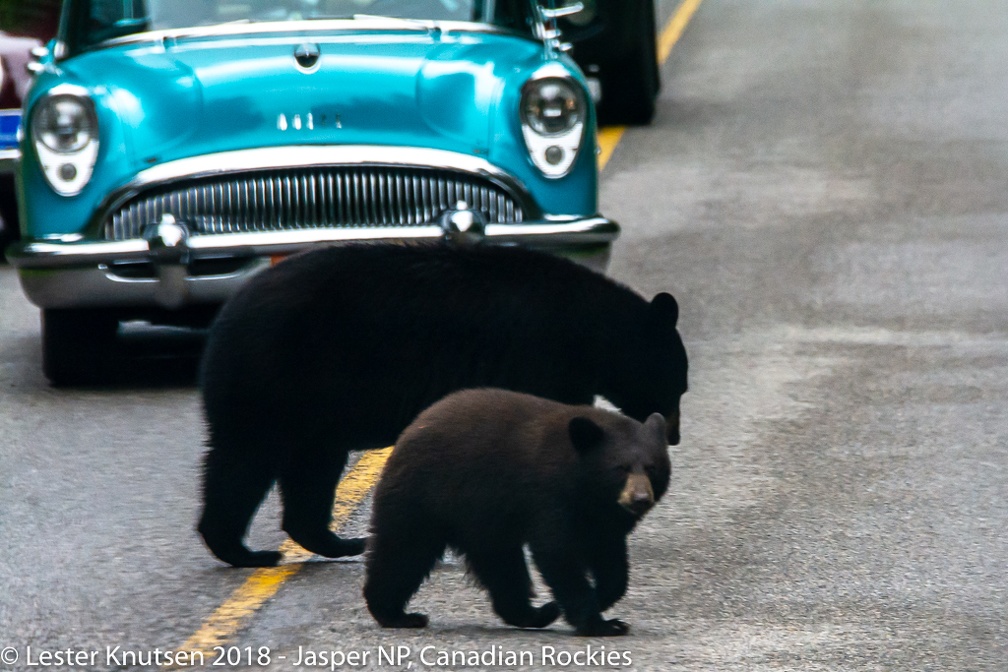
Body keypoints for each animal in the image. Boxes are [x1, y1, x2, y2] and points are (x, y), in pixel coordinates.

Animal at [194, 242, 685, 568]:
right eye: (679, 384)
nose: (676, 434)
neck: (590, 329)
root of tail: (225, 315)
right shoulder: (540, 358)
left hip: (308, 410)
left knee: (304, 468)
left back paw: (335, 543)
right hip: (275, 379)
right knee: (245, 460)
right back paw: (245, 551)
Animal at [362, 388, 669, 636]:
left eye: (651, 468)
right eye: (620, 468)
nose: (640, 498)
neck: (583, 482)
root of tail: (411, 429)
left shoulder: (603, 518)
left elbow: (611, 563)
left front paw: (595, 600)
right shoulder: (548, 496)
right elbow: (557, 552)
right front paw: (600, 624)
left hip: (482, 522)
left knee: (501, 566)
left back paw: (534, 613)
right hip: (424, 497)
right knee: (403, 551)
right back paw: (396, 614)